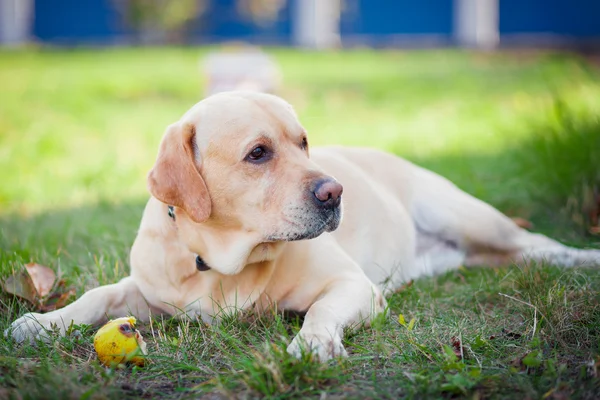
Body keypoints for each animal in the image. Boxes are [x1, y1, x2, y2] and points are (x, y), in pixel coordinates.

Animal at [7, 92, 600, 360]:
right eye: (258, 153)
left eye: (304, 142)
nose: (336, 192)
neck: (221, 263)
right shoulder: (146, 289)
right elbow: (98, 296)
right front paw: (41, 322)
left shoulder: (352, 286)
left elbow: (320, 311)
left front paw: (313, 345)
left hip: (470, 216)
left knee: (539, 246)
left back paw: (584, 258)